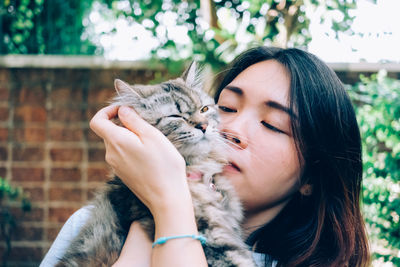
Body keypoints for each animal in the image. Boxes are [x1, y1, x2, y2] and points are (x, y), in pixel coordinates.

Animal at [54, 63, 255, 267]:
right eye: (175, 116)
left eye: (204, 109)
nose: (204, 126)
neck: (198, 172)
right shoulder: (211, 237)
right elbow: (240, 259)